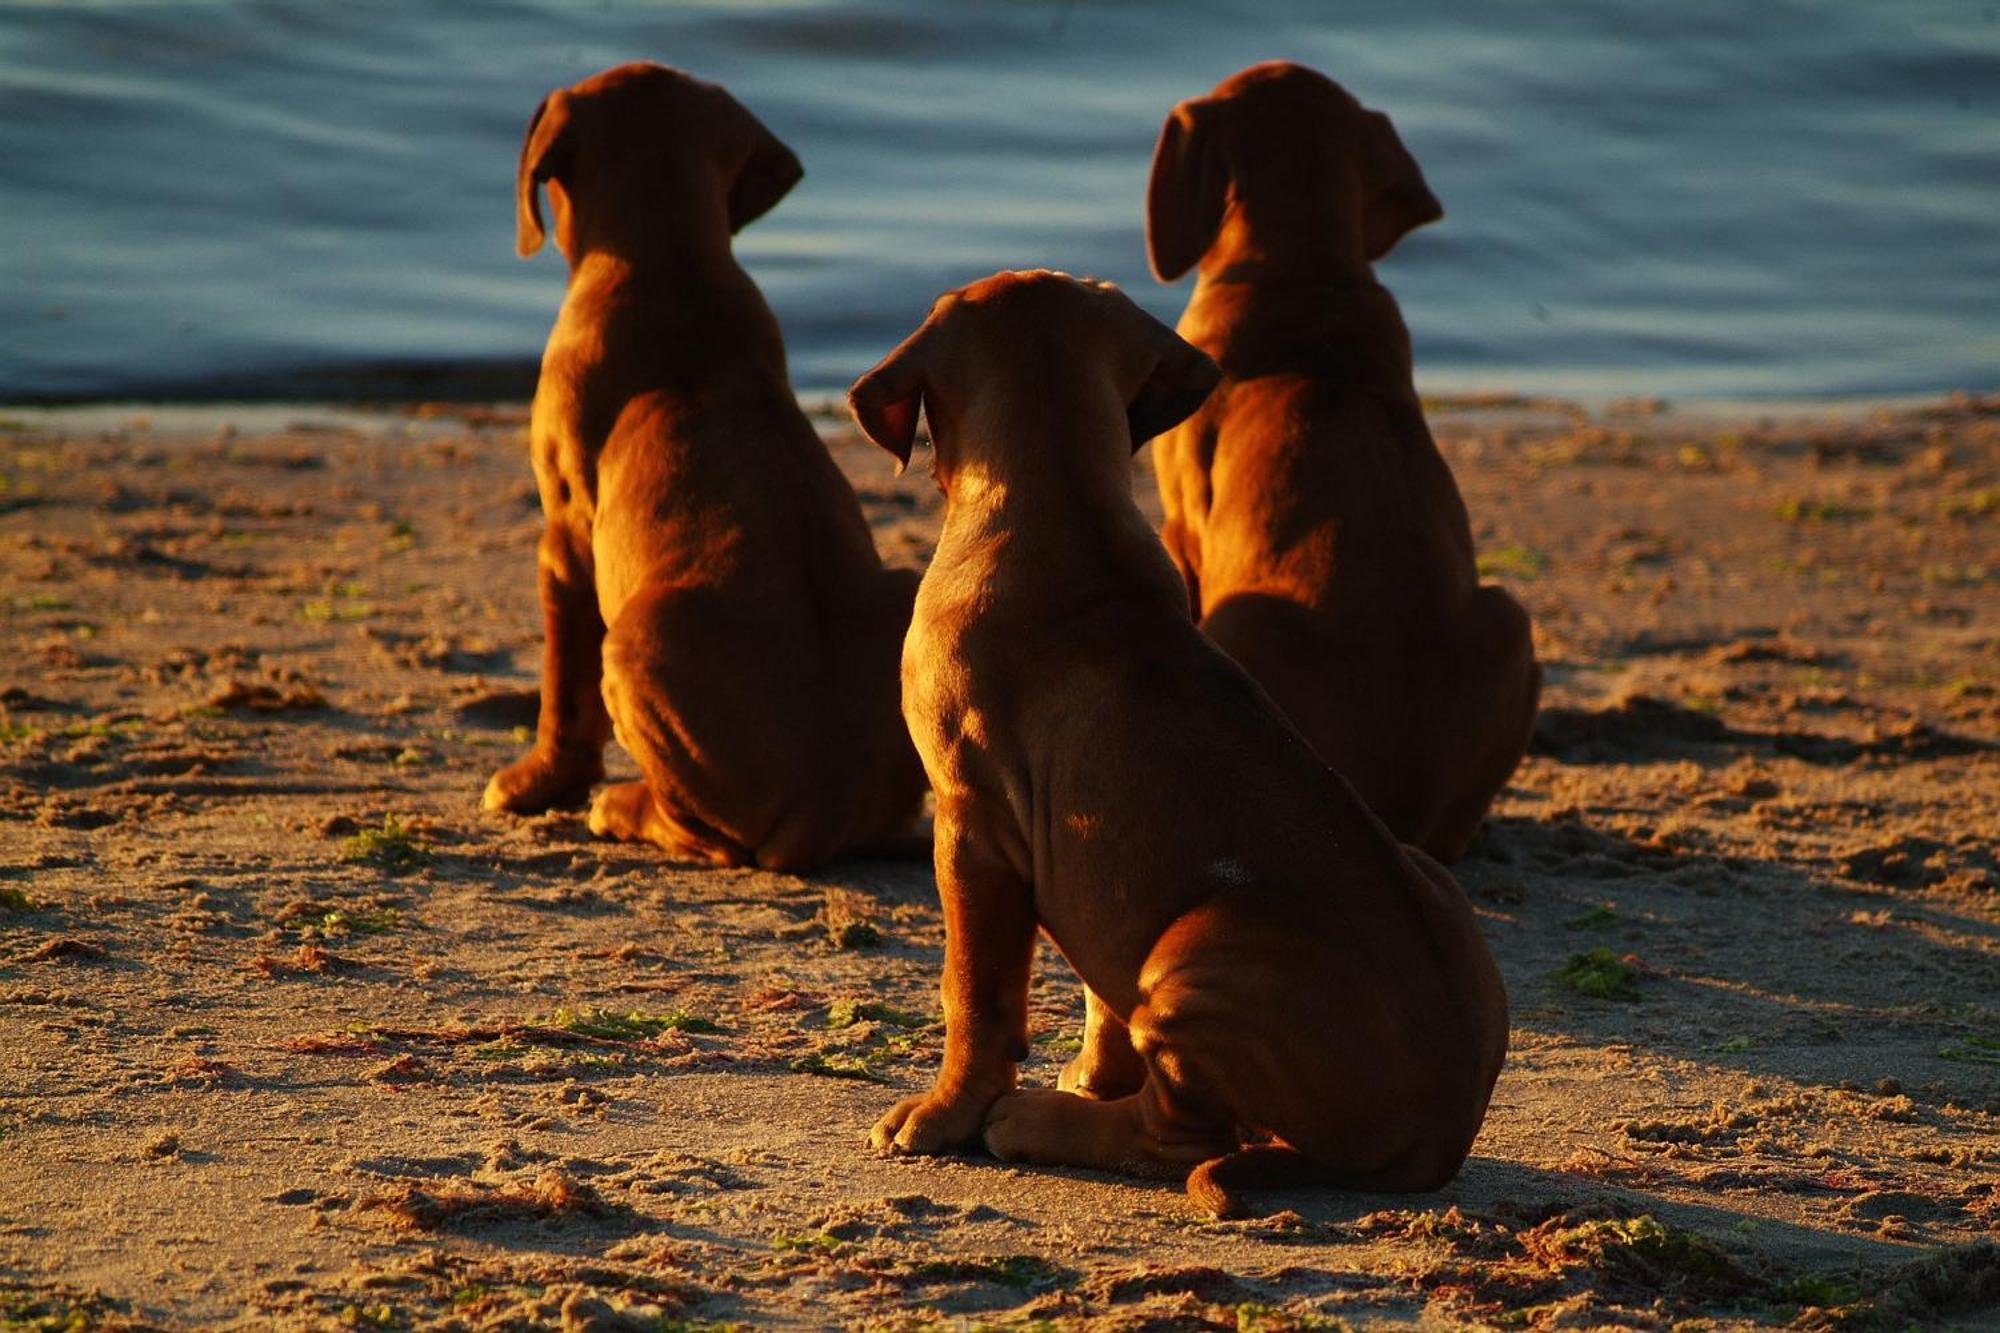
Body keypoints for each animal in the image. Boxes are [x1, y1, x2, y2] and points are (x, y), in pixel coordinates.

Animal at [480, 65, 924, 872]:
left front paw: (538, 783)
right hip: (908, 590)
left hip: (630, 641)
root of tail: (825, 806)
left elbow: (562, 690)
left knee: (709, 836)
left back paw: (622, 807)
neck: (673, 264)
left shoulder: (565, 537)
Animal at [852, 270, 1504, 1216]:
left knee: (1177, 1136)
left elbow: (972, 992)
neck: (1064, 512)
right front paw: (1093, 1072)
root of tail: (1440, 1133)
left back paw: (1034, 1122)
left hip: (1197, 961)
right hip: (1419, 878)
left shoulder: (971, 827)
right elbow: (1099, 990)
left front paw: (942, 1116)